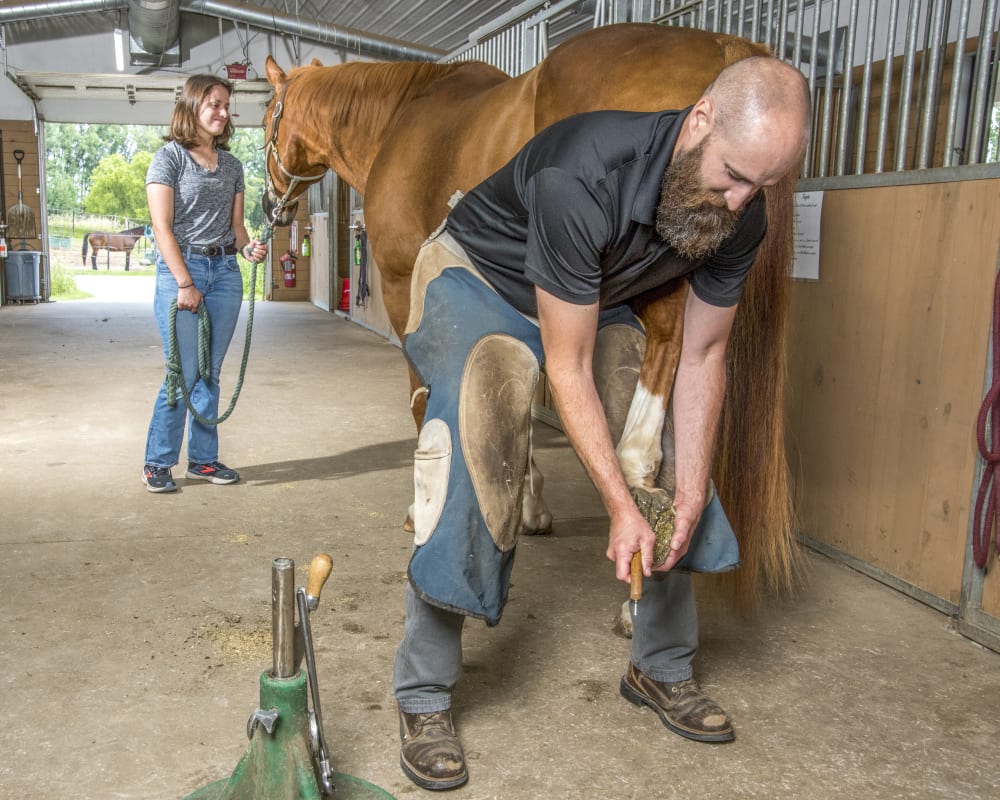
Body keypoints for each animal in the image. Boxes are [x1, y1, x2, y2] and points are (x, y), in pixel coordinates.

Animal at [262, 21, 800, 604]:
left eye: (268, 116)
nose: (272, 206)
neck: (401, 118)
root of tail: (721, 45)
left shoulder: (402, 281)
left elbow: (423, 392)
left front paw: (422, 508)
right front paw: (530, 503)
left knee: (664, 348)